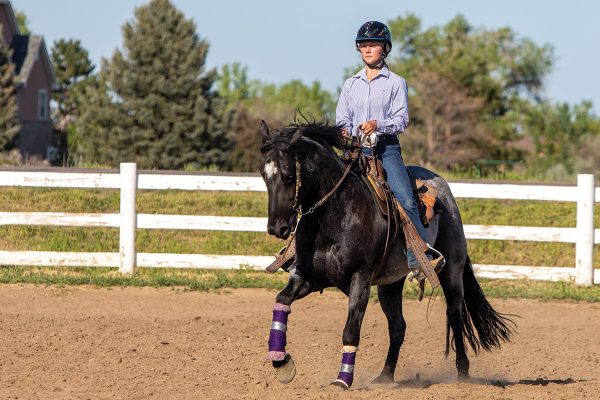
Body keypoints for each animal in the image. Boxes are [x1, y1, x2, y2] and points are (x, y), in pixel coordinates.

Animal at [258, 120, 516, 390]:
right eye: (264, 176)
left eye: (288, 177)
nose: (277, 228)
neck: (335, 214)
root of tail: (443, 190)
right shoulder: (309, 277)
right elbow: (281, 300)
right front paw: (282, 363)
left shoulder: (360, 279)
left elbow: (351, 330)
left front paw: (343, 380)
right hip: (390, 285)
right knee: (398, 326)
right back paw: (385, 376)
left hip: (452, 271)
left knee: (455, 314)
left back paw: (462, 373)